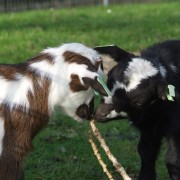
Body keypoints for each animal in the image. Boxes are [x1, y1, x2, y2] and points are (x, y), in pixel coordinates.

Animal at [95, 40, 180, 180]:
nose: (100, 113)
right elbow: (145, 152)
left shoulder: (175, 126)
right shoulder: (148, 127)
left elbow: (172, 160)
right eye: (109, 79)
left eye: (138, 102)